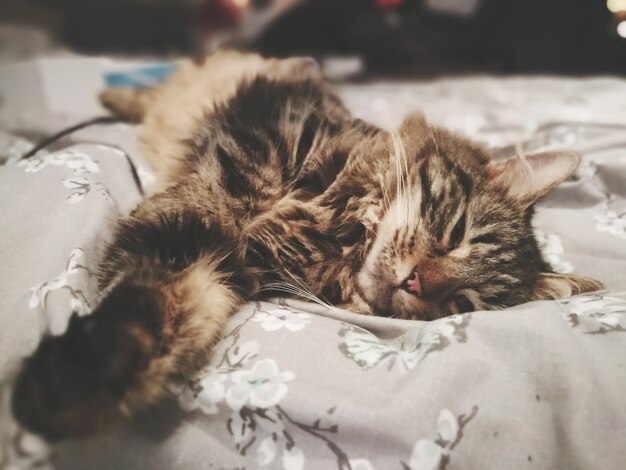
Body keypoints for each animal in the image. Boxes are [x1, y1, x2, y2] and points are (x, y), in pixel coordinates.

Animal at [12, 51, 604, 440]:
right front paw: (78, 376)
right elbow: (151, 287)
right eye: (455, 234)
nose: (416, 282)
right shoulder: (213, 199)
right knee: (159, 89)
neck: (334, 233)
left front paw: (78, 386)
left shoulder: (235, 258)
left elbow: (182, 301)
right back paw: (112, 95)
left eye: (460, 304)